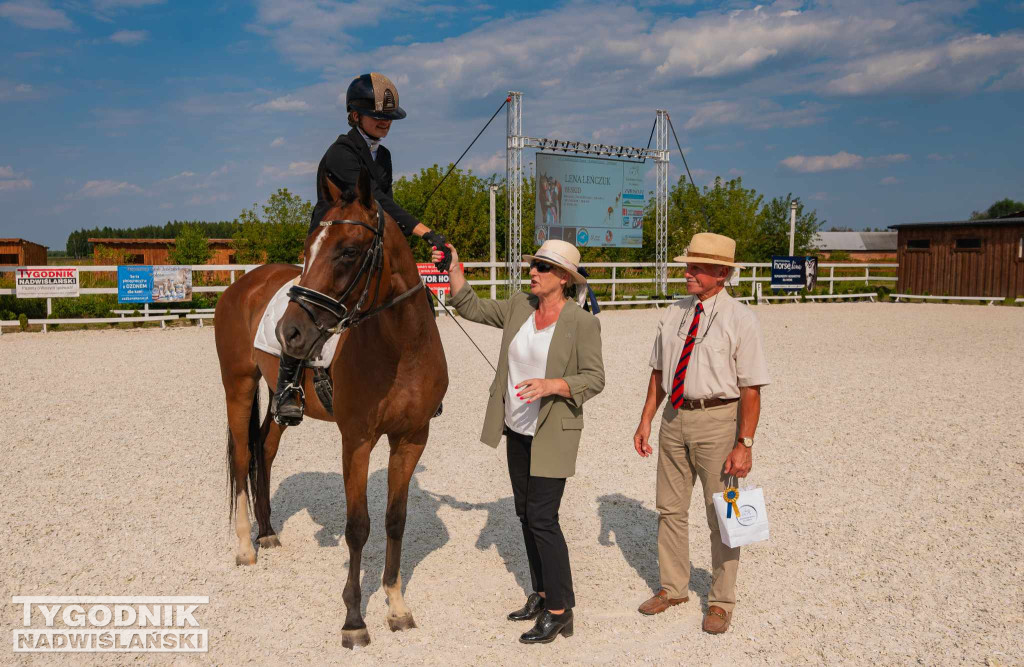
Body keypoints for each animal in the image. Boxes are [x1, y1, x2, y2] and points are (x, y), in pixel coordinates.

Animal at [215, 163, 448, 651]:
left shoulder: (411, 439)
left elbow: (395, 520)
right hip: (238, 386)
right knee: (242, 456)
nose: (289, 333)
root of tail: (243, 284)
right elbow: (357, 526)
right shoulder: (356, 441)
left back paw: (268, 533)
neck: (402, 348)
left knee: (264, 449)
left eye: (349, 251)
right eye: (309, 251)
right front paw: (354, 620)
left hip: (277, 399)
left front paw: (396, 606)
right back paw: (245, 546)